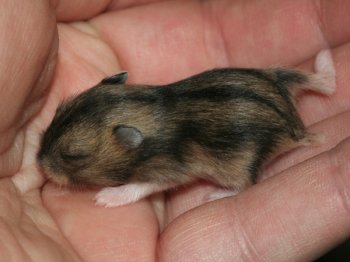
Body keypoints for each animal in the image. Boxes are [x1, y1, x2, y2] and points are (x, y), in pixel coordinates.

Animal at [37, 50, 334, 208]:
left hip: (239, 166)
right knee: (323, 83)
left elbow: (140, 185)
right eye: (57, 111)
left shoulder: (168, 170)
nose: (39, 163)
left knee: (246, 186)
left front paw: (104, 198)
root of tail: (295, 126)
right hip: (276, 74)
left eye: (73, 156)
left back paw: (213, 195)